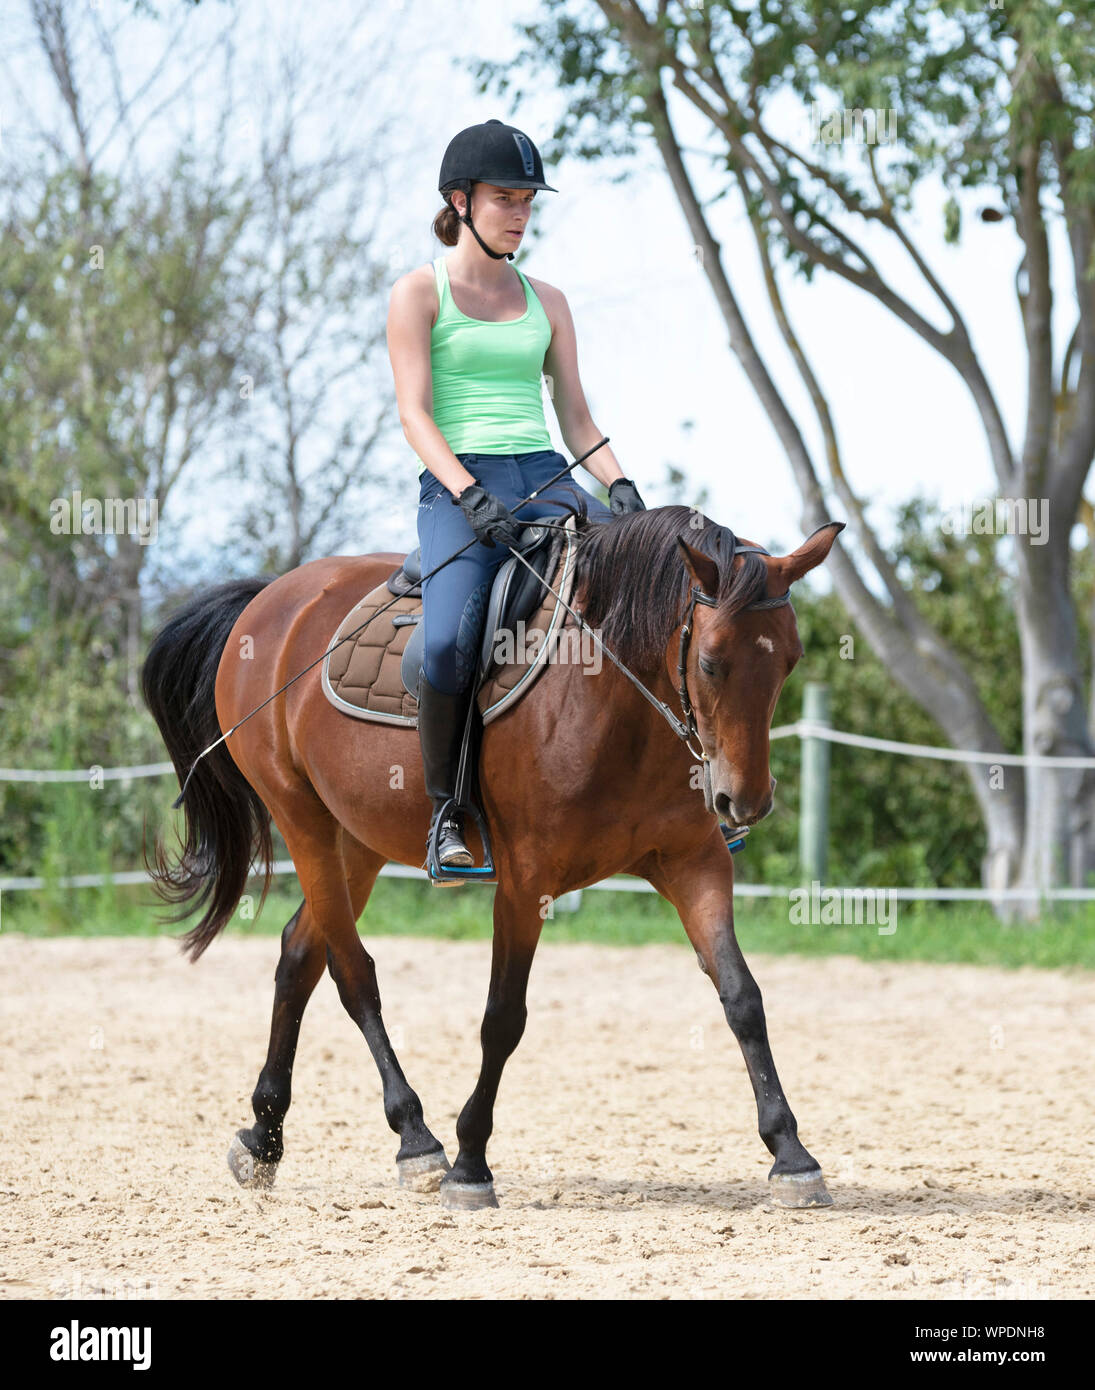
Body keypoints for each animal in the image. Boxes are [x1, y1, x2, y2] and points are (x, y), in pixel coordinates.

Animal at [141, 504, 844, 1209]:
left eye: (789, 661)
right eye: (711, 662)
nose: (746, 801)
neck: (612, 694)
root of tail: (272, 599)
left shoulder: (694, 863)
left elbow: (742, 996)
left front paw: (791, 1154)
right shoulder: (525, 883)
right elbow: (503, 1018)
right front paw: (470, 1163)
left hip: (356, 841)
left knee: (299, 955)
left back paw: (263, 1137)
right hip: (302, 819)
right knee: (352, 972)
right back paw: (416, 1139)